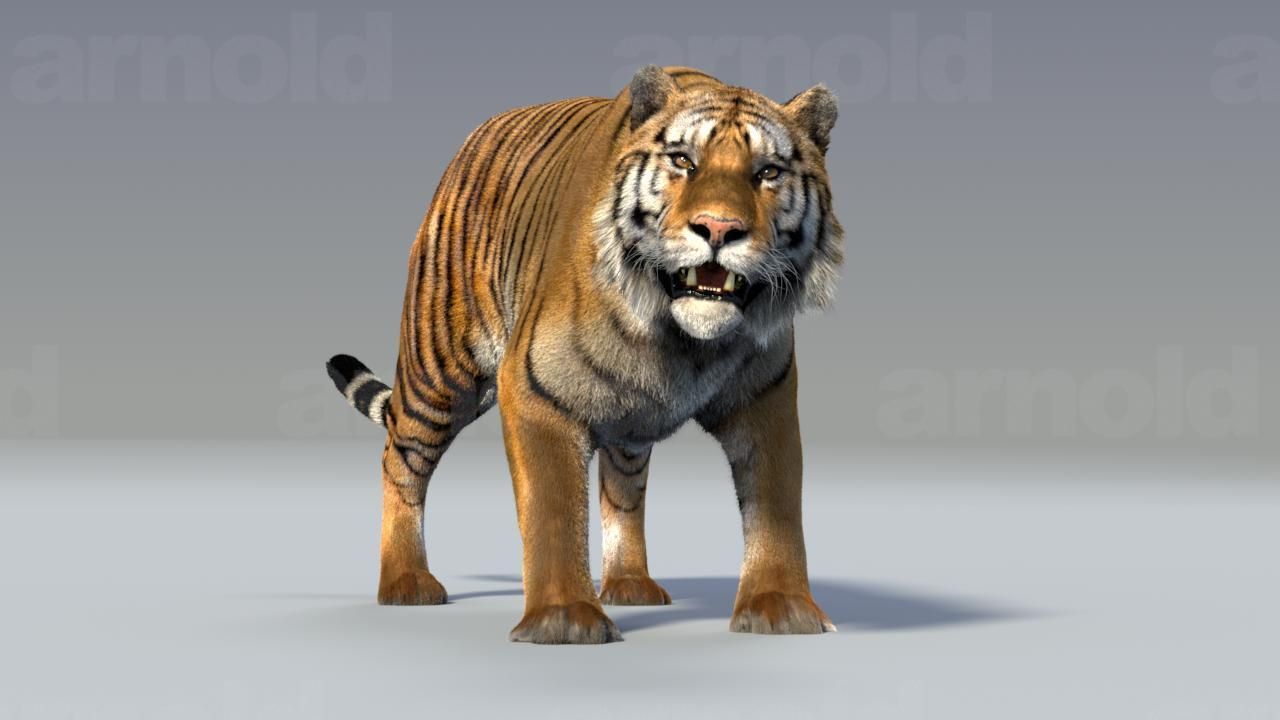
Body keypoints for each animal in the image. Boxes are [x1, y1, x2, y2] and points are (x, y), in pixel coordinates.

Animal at [326, 65, 844, 644]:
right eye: (683, 161)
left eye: (768, 172)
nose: (718, 228)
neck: (682, 342)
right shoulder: (536, 391)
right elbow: (552, 510)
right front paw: (565, 617)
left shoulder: (766, 399)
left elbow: (778, 508)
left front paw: (781, 606)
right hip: (439, 372)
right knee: (400, 459)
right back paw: (405, 581)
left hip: (627, 422)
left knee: (624, 485)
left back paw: (630, 584)